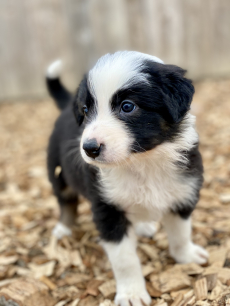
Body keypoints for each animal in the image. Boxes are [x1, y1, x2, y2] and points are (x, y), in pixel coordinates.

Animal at [46, 52, 208, 306]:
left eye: (127, 107)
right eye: (85, 110)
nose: (89, 148)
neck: (141, 161)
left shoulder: (183, 194)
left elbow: (181, 233)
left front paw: (187, 256)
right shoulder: (107, 209)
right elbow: (125, 260)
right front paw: (131, 294)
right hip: (57, 170)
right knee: (66, 200)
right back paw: (64, 227)